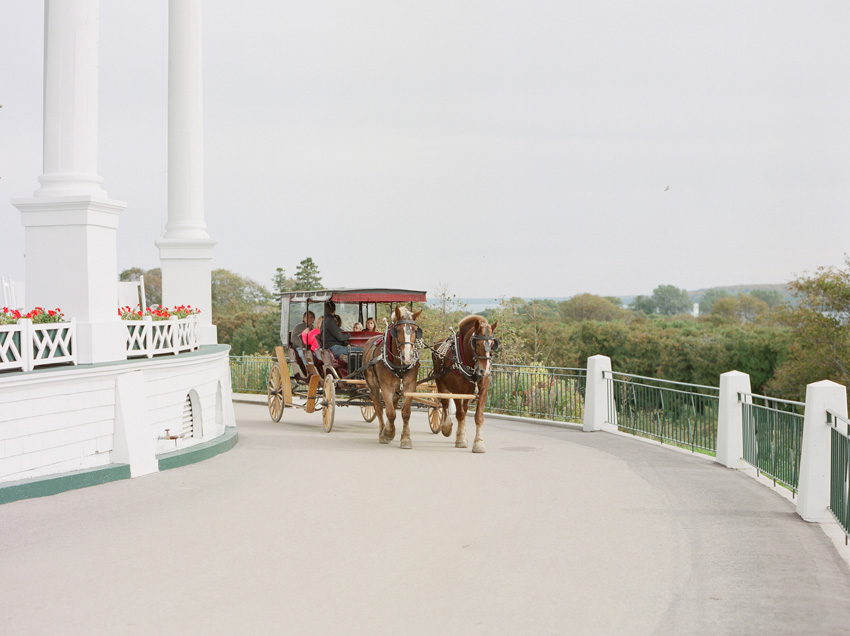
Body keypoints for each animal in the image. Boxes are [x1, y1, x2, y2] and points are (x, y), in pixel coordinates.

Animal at [360, 306, 422, 448]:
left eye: (415, 330)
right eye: (398, 330)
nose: (407, 357)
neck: (399, 365)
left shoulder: (409, 387)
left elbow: (405, 413)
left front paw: (405, 439)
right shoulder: (386, 388)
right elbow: (391, 413)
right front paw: (388, 433)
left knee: (392, 405)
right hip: (373, 387)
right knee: (378, 408)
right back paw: (382, 432)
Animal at [430, 314, 496, 452]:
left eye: (492, 343)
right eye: (477, 344)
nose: (485, 370)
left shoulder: (482, 389)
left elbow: (478, 416)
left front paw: (478, 443)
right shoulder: (457, 391)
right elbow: (459, 414)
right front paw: (460, 439)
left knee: (464, 409)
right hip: (441, 383)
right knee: (444, 404)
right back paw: (447, 427)